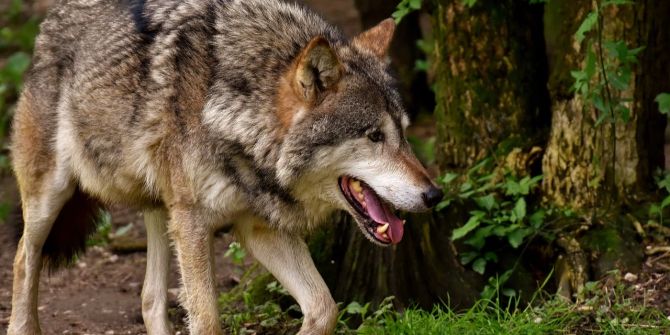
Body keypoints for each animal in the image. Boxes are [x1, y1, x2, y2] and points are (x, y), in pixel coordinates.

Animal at [6, 0, 446, 334]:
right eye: (374, 136)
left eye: (404, 133)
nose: (434, 194)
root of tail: (52, 17)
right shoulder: (195, 224)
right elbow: (207, 321)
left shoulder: (258, 228)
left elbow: (324, 307)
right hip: (52, 196)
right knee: (23, 259)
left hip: (162, 210)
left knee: (150, 299)